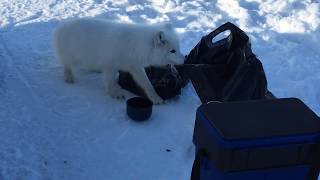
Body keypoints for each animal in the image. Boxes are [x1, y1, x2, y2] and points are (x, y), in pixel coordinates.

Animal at [53, 18, 184, 104]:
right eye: (172, 51)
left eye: (178, 48)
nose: (184, 59)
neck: (137, 46)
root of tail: (62, 25)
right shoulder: (109, 66)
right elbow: (109, 81)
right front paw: (114, 94)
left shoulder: (135, 67)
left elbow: (147, 84)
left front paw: (155, 97)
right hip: (71, 55)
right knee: (67, 65)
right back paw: (68, 77)